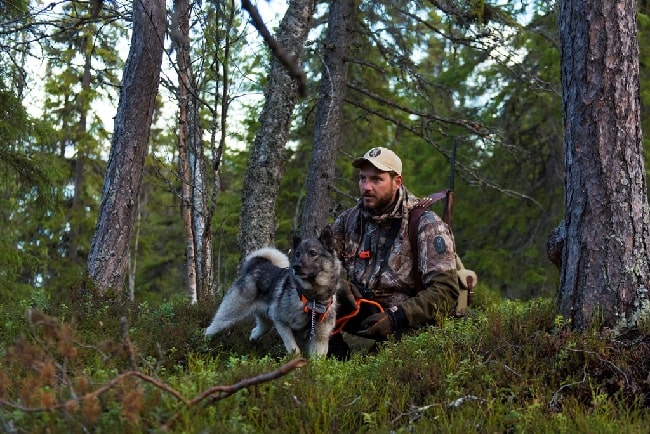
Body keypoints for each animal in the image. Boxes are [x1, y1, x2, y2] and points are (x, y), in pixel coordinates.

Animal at [205, 225, 342, 358]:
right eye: (297, 254)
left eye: (313, 253)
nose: (296, 267)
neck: (313, 298)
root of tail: (256, 265)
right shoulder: (281, 323)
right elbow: (294, 349)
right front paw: (295, 361)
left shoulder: (320, 337)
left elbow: (317, 360)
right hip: (229, 314)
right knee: (211, 328)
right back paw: (205, 343)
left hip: (265, 322)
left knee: (256, 330)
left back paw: (252, 342)